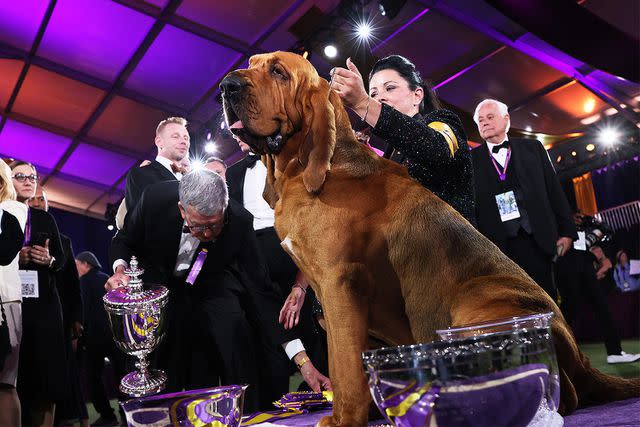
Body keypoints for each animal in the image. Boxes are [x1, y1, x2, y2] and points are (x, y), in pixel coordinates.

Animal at [221, 51, 640, 426]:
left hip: (475, 311)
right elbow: (345, 362)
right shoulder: (327, 291)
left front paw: (344, 419)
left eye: (278, 71)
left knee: (562, 393)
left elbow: (345, 366)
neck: (301, 168)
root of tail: (584, 360)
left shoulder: (341, 284)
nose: (226, 86)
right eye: (253, 64)